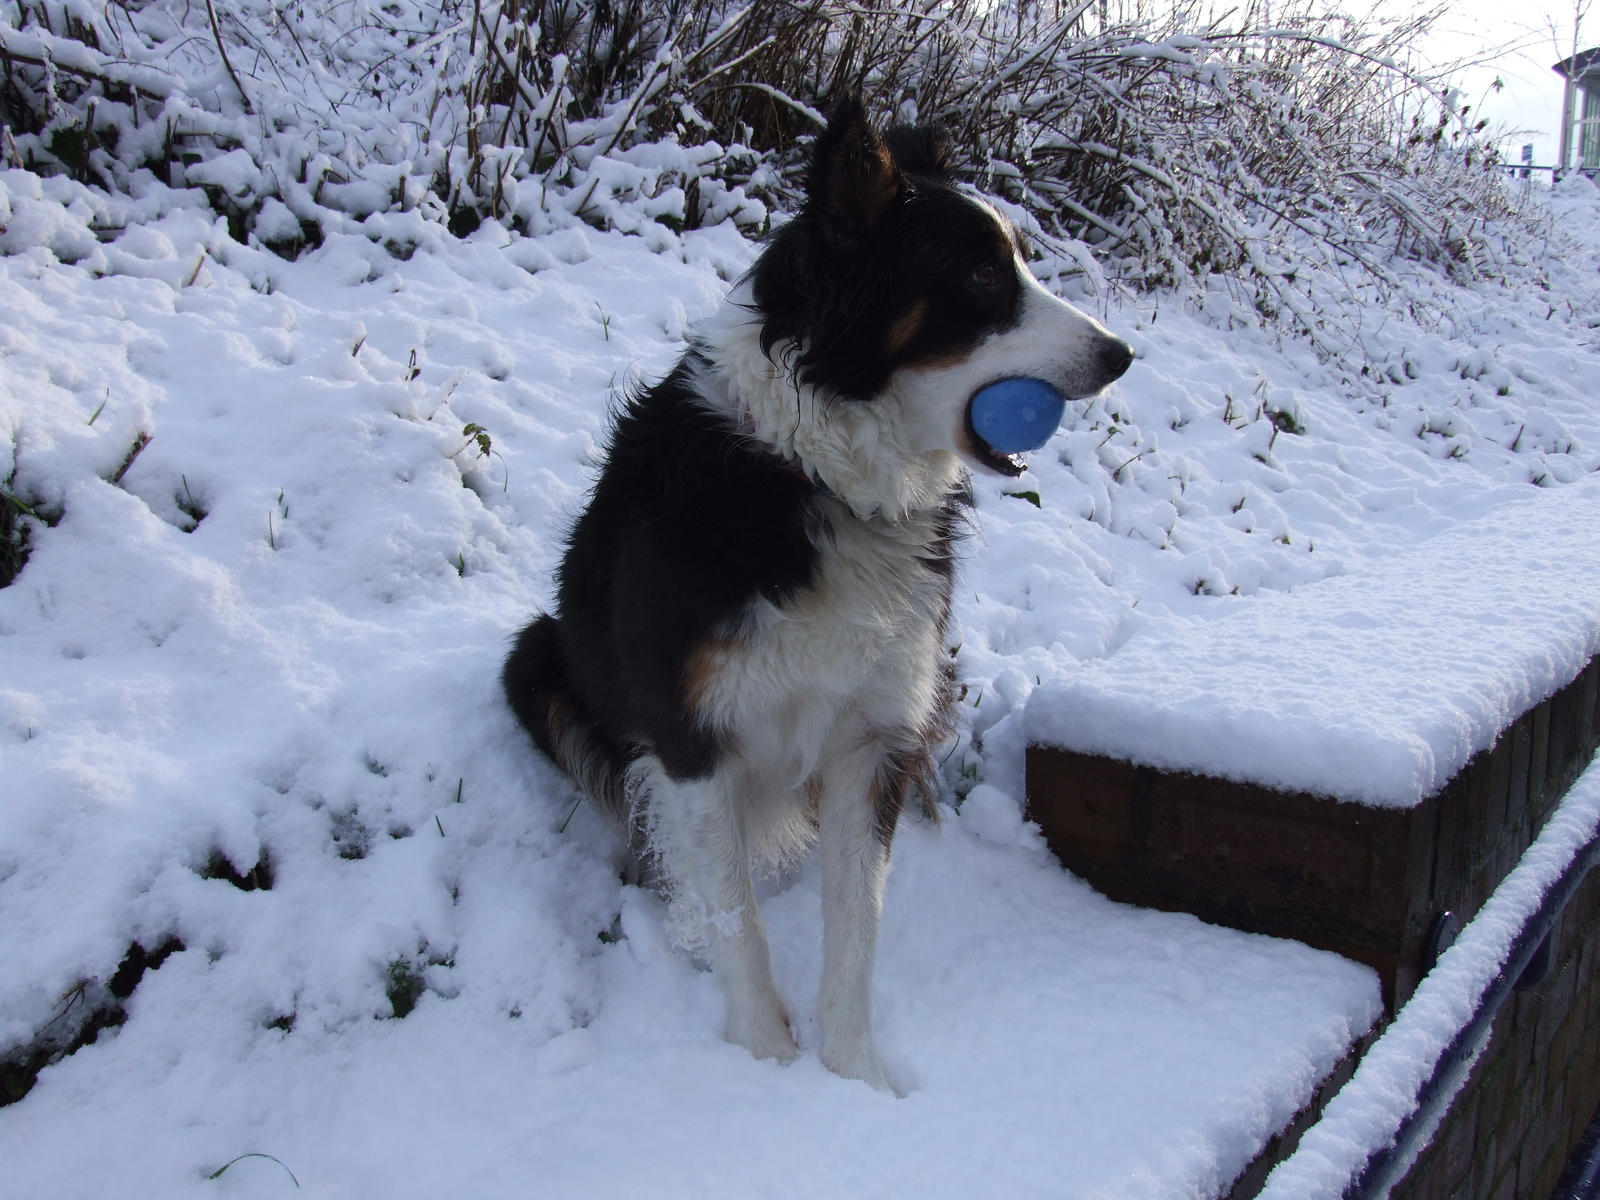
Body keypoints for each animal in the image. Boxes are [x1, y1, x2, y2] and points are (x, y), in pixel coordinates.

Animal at [505, 98, 1132, 1094]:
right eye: (980, 274)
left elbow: (858, 921)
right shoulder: (690, 736)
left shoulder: (874, 732)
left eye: (1021, 262)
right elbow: (736, 918)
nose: (1120, 355)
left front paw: (854, 1083)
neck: (822, 478)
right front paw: (762, 1064)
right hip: (532, 662)